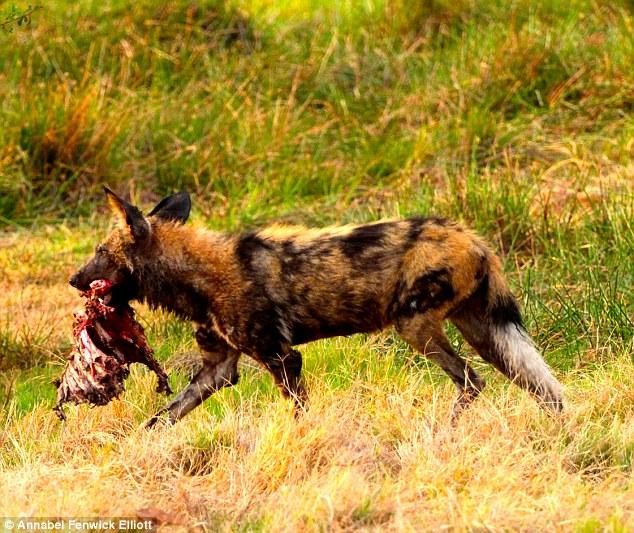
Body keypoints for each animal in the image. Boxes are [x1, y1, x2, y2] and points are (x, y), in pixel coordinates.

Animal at [70, 187, 564, 424]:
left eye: (100, 253)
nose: (73, 280)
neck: (196, 274)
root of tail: (475, 240)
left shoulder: (282, 358)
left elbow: (298, 415)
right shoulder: (218, 370)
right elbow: (161, 420)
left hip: (417, 328)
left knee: (471, 382)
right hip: (488, 335)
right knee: (546, 392)